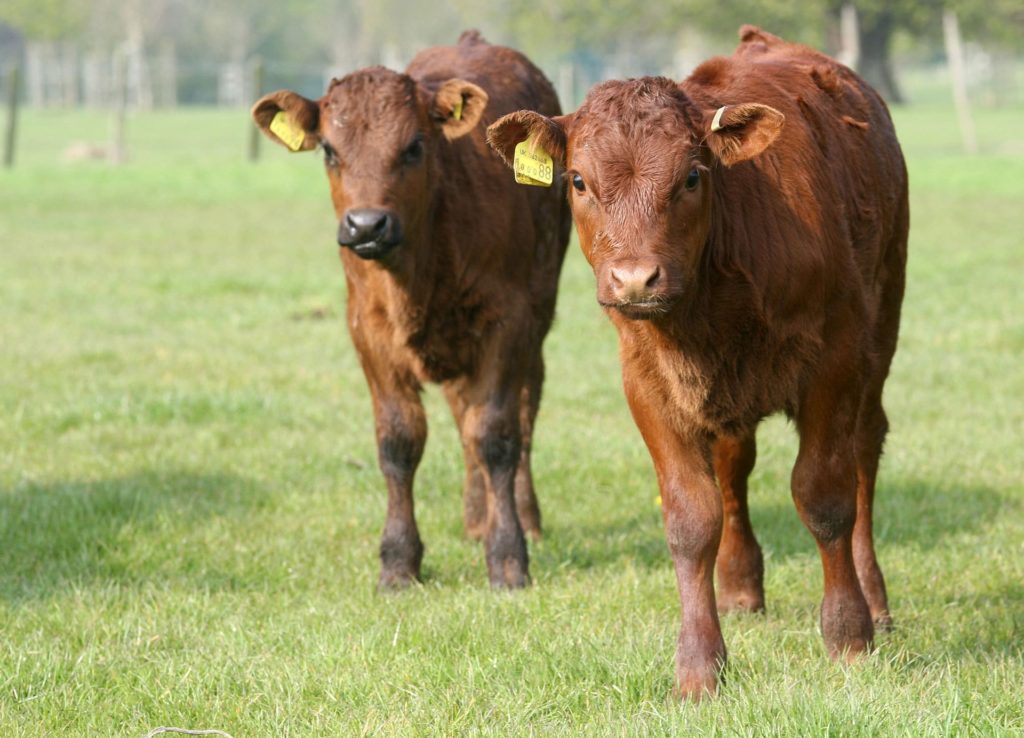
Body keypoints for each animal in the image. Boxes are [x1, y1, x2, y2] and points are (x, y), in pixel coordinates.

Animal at [247, 31, 569, 589]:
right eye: (329, 150)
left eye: (415, 146)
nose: (367, 225)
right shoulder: (368, 332)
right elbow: (399, 441)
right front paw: (398, 561)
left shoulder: (507, 324)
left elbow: (497, 436)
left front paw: (509, 556)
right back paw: (474, 518)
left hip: (538, 314)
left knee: (521, 414)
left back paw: (522, 517)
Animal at [489, 25, 913, 696]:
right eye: (578, 181)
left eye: (691, 177)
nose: (635, 279)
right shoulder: (647, 383)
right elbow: (692, 519)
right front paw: (698, 667)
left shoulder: (836, 359)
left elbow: (824, 497)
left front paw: (848, 636)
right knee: (734, 468)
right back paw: (740, 587)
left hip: (882, 328)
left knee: (864, 458)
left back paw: (875, 599)